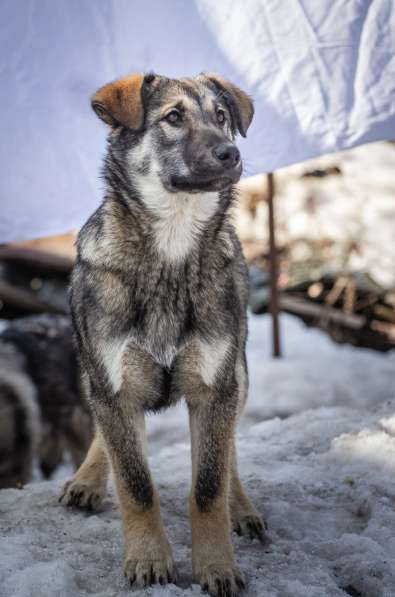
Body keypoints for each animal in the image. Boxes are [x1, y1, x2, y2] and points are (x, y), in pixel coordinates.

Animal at [60, 73, 266, 596]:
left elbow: (209, 485)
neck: (171, 250)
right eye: (173, 117)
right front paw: (149, 560)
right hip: (91, 371)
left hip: (238, 372)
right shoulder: (112, 383)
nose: (231, 154)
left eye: (221, 116)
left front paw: (216, 566)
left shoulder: (215, 386)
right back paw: (88, 479)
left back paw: (243, 508)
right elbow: (135, 482)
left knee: (229, 452)